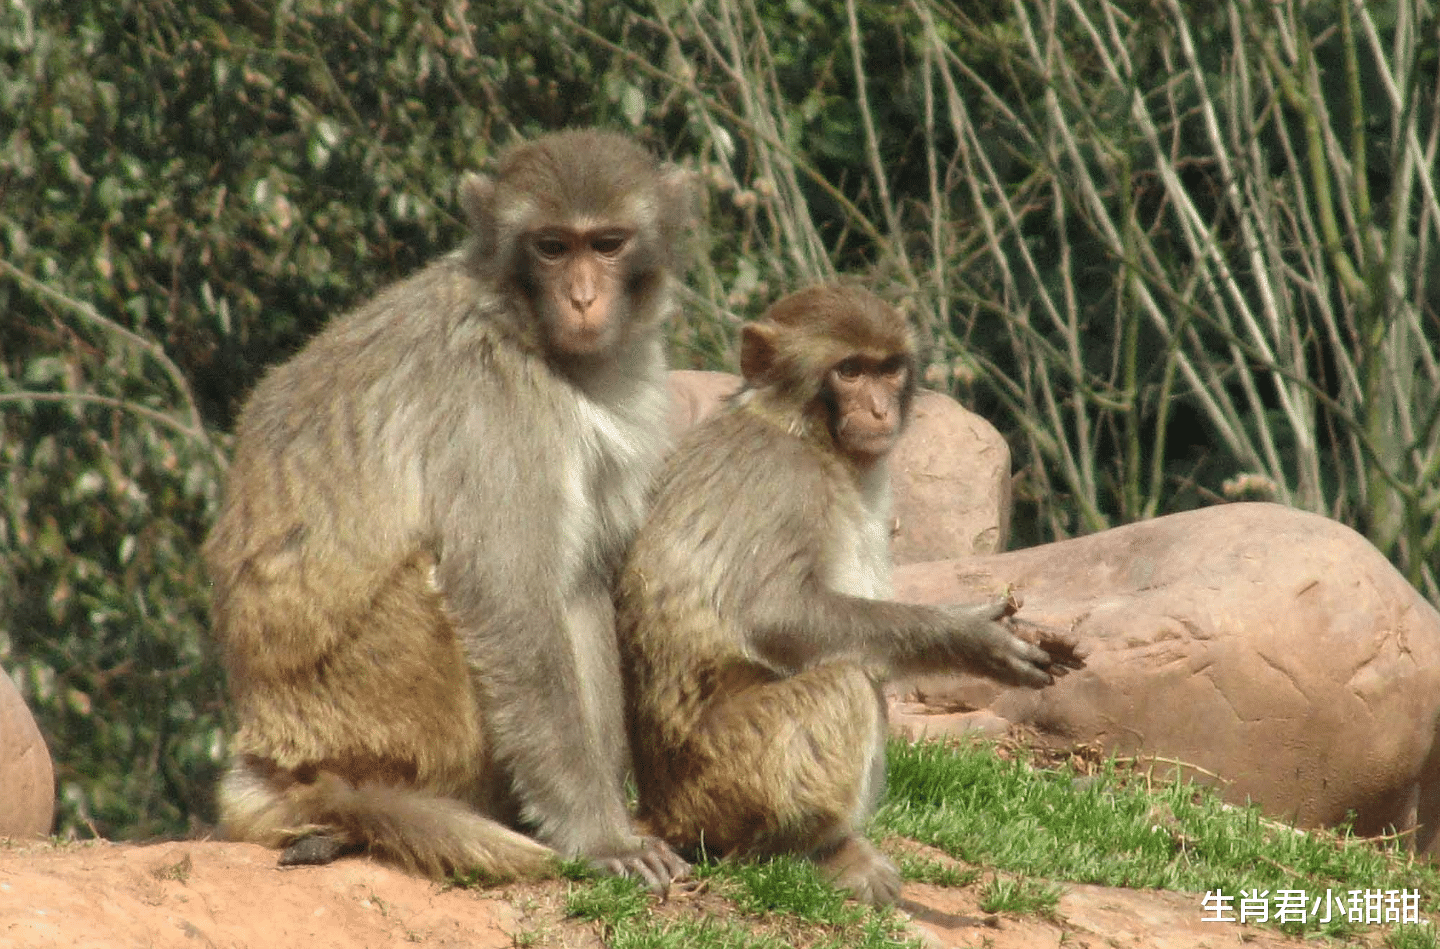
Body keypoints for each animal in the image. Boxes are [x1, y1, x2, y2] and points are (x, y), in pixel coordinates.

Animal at [205, 128, 694, 892]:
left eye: (608, 243)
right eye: (552, 247)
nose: (583, 296)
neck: (529, 332)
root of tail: (270, 761)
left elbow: (581, 582)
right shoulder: (494, 406)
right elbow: (507, 595)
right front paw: (599, 831)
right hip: (368, 702)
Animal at [619, 288, 1082, 904]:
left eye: (887, 370)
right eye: (850, 371)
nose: (880, 411)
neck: (805, 433)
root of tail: (658, 810)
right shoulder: (783, 478)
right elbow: (775, 616)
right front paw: (972, 639)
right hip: (722, 785)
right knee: (846, 682)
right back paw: (814, 849)